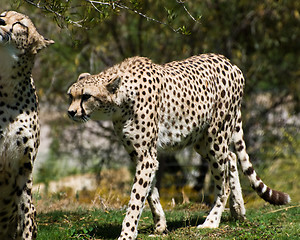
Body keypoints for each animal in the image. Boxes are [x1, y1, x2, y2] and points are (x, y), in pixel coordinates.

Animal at [67, 54, 290, 240]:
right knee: (232, 158)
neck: (120, 102)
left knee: (224, 182)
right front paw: (160, 226)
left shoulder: (146, 157)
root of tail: (229, 62)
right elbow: (150, 192)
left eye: (86, 96)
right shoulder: (140, 155)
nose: (70, 112)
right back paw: (238, 211)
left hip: (214, 137)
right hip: (203, 140)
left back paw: (212, 221)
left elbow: (136, 198)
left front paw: (127, 233)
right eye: (71, 95)